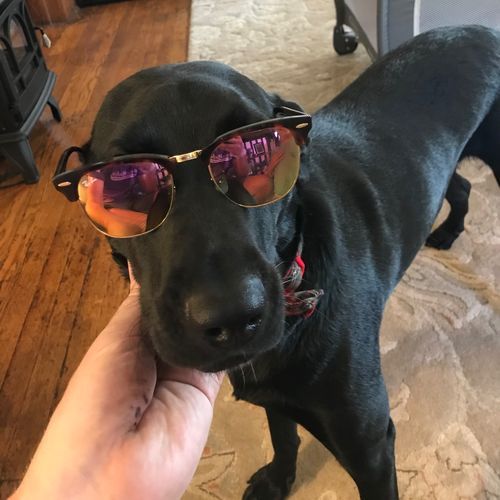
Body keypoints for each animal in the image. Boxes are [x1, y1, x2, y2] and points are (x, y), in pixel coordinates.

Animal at [73, 26, 500, 499]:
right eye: (128, 185)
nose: (233, 316)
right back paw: (447, 231)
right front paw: (278, 480)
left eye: (254, 150)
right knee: (460, 186)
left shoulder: (369, 443)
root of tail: (484, 29)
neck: (299, 275)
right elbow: (283, 435)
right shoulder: (274, 397)